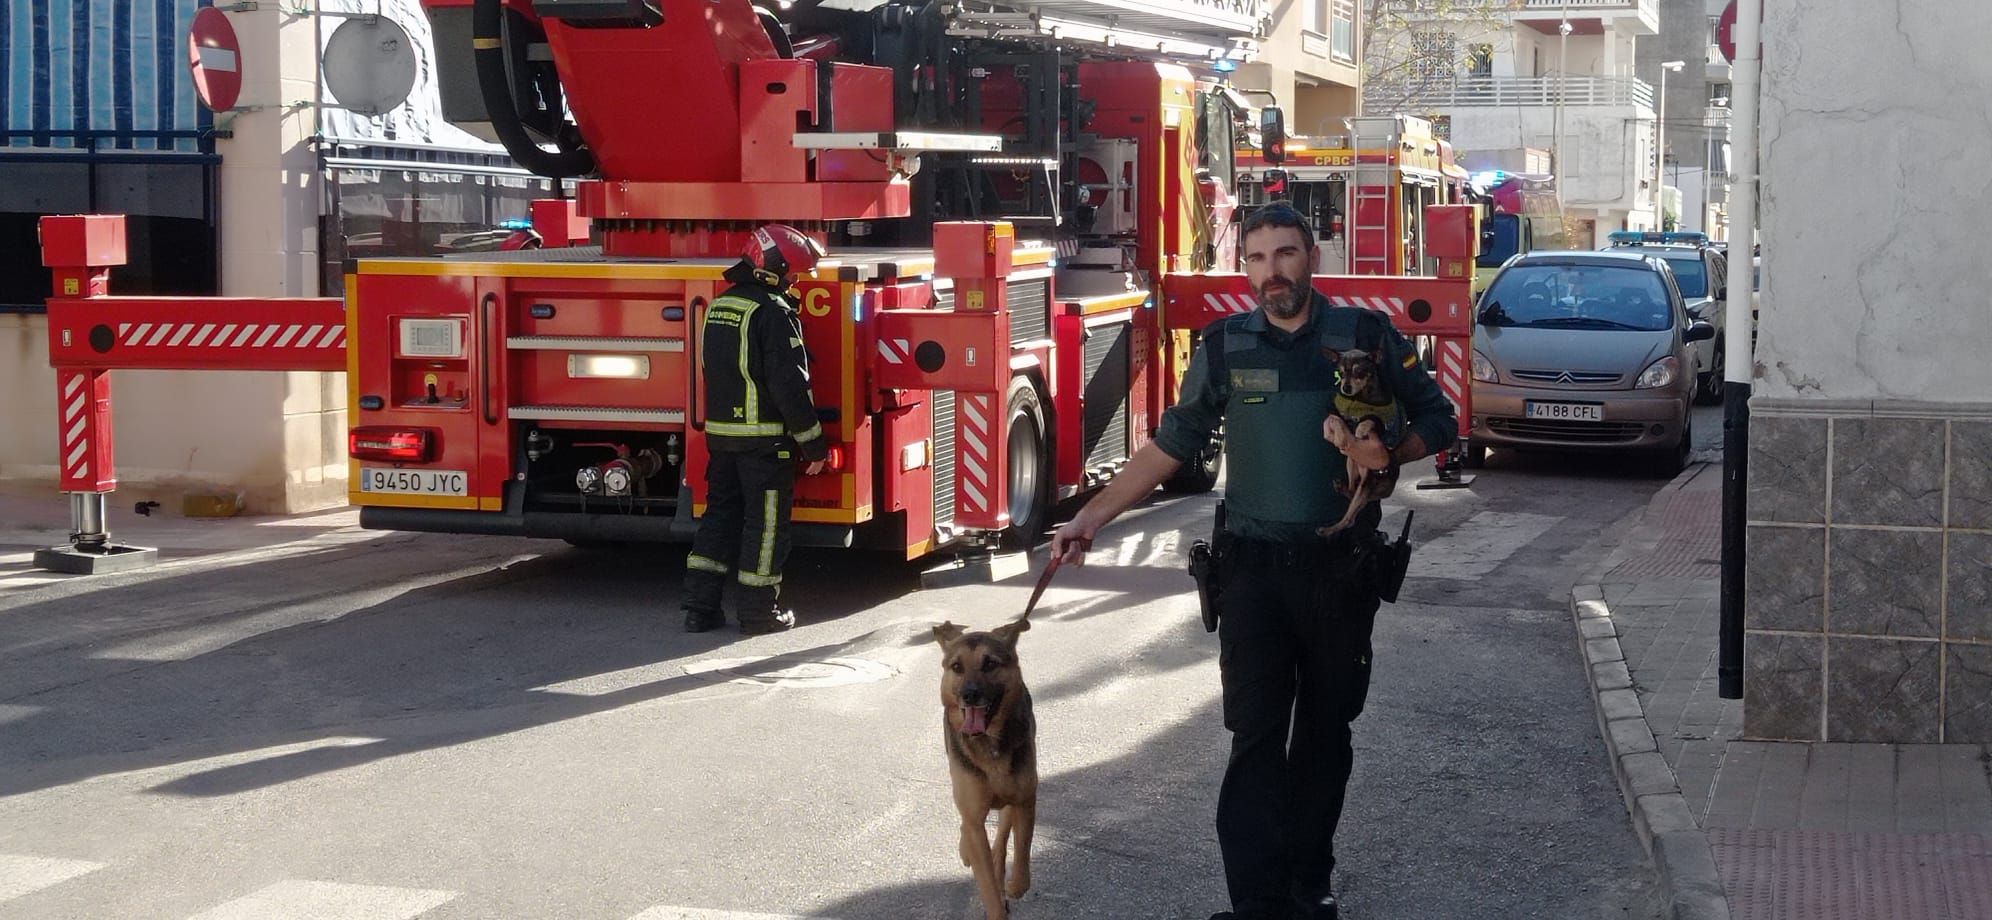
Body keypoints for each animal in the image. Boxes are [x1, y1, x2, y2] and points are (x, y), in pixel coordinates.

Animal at [936, 617, 1043, 920]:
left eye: (990, 664)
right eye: (956, 667)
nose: (969, 695)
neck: (989, 743)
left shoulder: (1025, 800)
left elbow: (1021, 851)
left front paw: (1015, 885)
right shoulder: (973, 816)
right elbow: (986, 884)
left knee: (1003, 833)